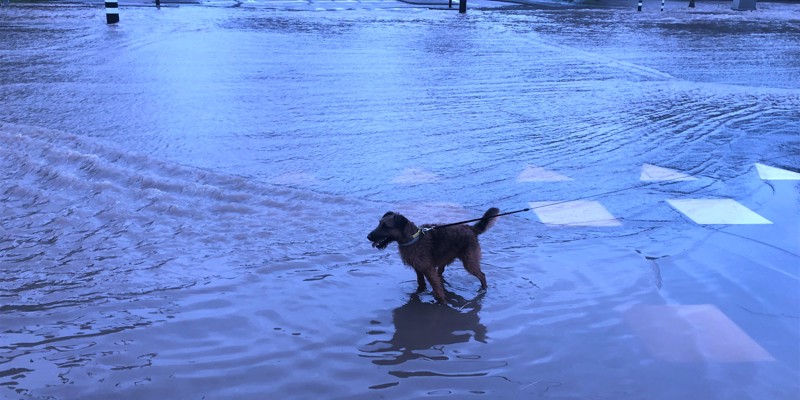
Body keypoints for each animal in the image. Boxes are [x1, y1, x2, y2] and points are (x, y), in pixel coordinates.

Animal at [368, 209, 500, 304]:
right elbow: (421, 283)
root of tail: (470, 228)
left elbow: (436, 288)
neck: (412, 239)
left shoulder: (428, 270)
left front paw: (441, 302)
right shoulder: (419, 269)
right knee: (440, 273)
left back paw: (483, 289)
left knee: (482, 275)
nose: (368, 237)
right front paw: (420, 293)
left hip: (469, 262)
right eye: (379, 223)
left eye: (385, 226)